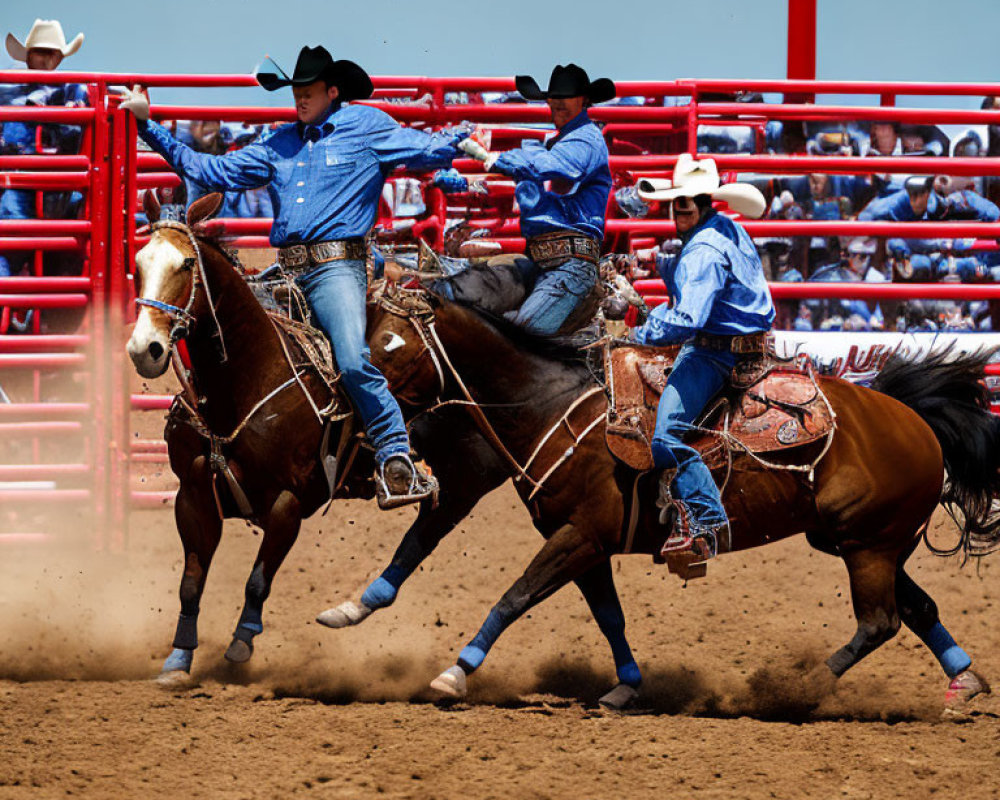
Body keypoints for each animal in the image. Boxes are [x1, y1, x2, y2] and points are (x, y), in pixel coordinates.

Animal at [360, 288, 1000, 708]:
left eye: (393, 345)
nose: (358, 400)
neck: (550, 407)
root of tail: (915, 418)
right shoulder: (586, 541)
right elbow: (609, 616)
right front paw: (624, 687)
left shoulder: (579, 536)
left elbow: (514, 597)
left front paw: (455, 674)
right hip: (860, 541)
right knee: (918, 609)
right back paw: (964, 682)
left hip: (868, 545)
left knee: (880, 622)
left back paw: (795, 688)